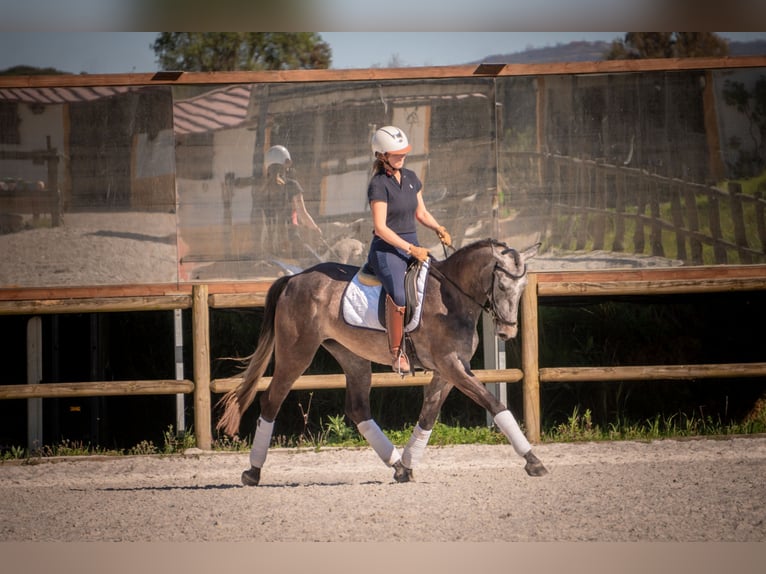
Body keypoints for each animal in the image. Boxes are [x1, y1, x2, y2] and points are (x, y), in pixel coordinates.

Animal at [216, 239, 548, 485]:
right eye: (502, 286)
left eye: (522, 289)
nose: (507, 332)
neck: (451, 298)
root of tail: (293, 278)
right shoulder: (451, 365)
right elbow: (494, 404)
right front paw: (533, 461)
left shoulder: (449, 370)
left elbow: (428, 416)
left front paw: (408, 466)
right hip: (296, 353)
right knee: (271, 401)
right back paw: (252, 472)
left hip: (351, 355)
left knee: (358, 408)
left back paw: (396, 464)